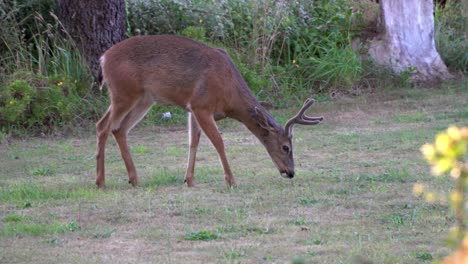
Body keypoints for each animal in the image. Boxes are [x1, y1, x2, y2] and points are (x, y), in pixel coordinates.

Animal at [95, 35, 322, 188]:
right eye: (286, 147)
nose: (291, 172)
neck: (230, 95)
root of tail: (103, 58)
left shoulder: (192, 109)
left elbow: (193, 142)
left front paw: (189, 179)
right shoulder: (201, 105)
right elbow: (218, 142)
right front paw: (231, 180)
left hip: (144, 99)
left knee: (119, 129)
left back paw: (134, 178)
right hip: (124, 93)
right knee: (103, 126)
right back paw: (100, 181)